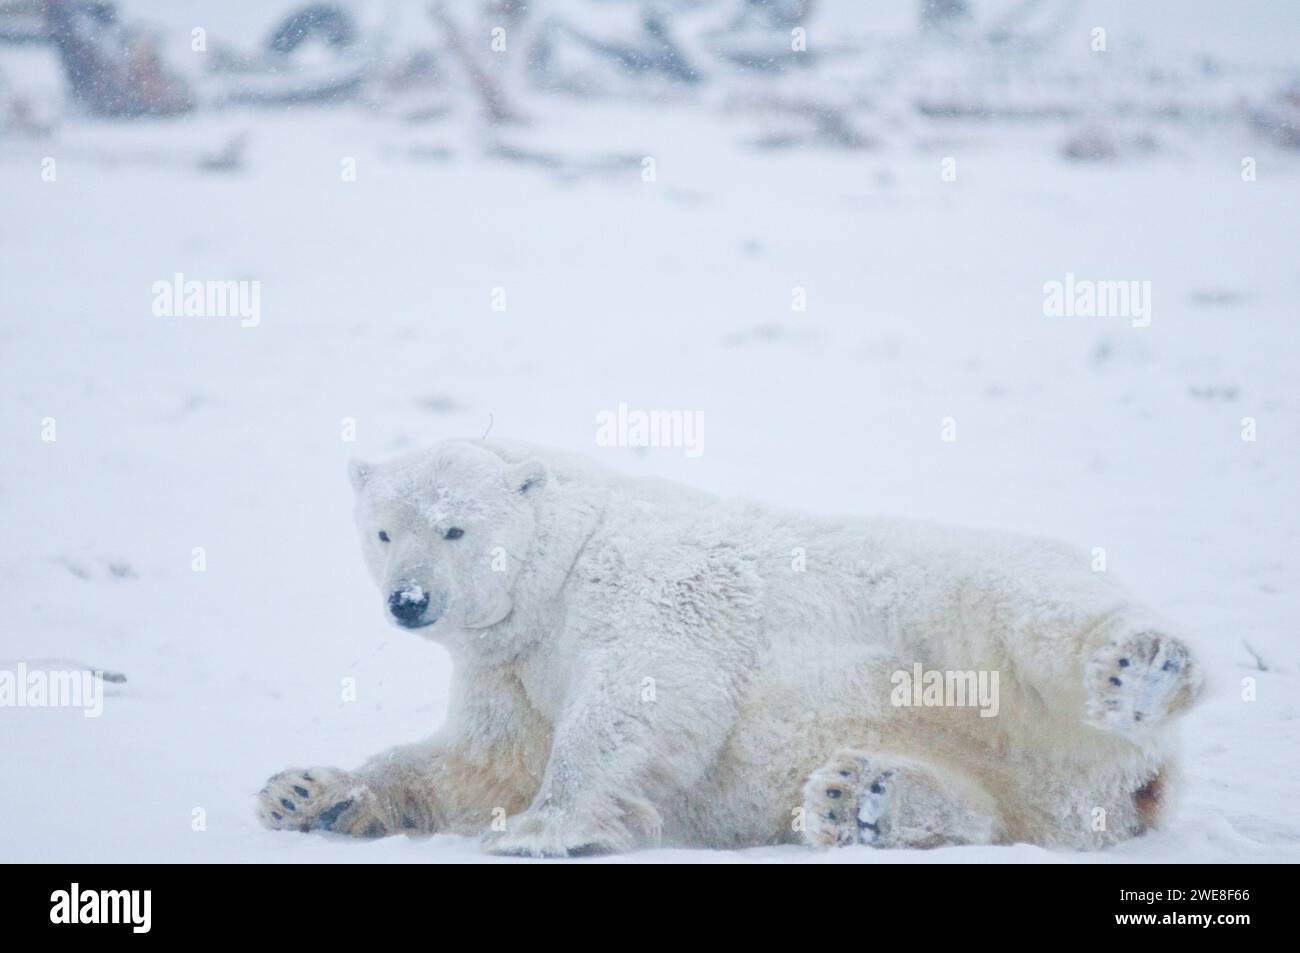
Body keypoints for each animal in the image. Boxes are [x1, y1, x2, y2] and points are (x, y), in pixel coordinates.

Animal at [258, 439, 1201, 852]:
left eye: (455, 527)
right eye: (383, 530)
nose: (410, 601)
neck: (561, 561)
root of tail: (1141, 777)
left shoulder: (652, 581)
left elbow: (641, 690)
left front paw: (544, 826)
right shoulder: (508, 667)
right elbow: (478, 761)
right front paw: (307, 792)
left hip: (965, 615)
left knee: (1033, 611)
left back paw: (1142, 669)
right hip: (1010, 762)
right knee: (992, 801)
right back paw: (860, 797)